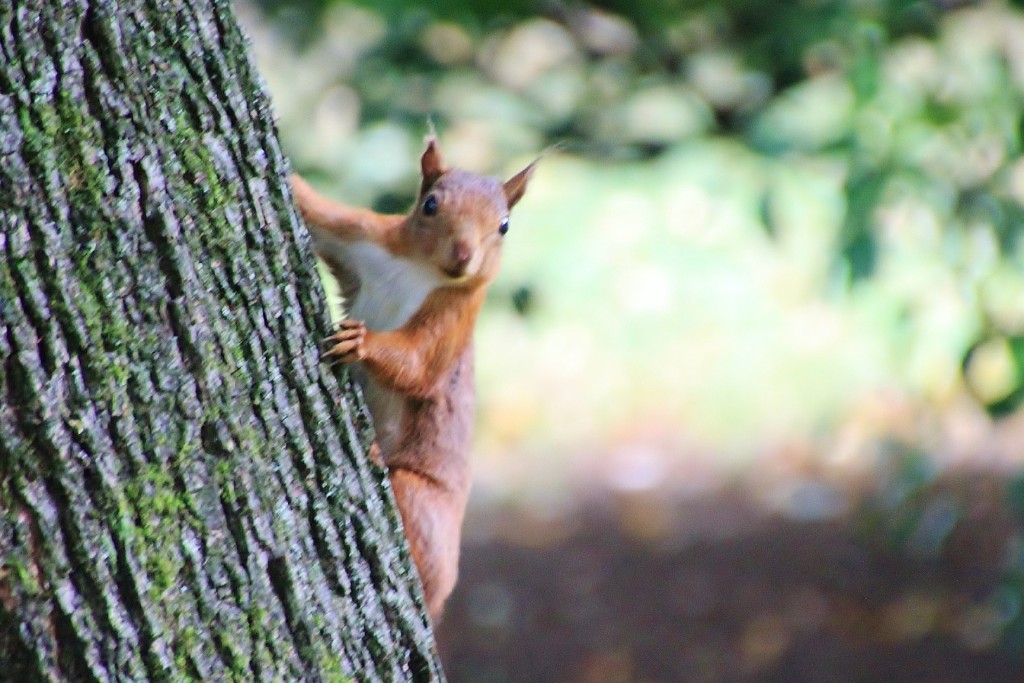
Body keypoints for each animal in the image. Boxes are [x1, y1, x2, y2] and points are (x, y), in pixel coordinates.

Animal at [290, 137, 536, 618]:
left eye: (504, 226)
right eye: (430, 204)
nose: (463, 257)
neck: (419, 270)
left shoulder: (454, 316)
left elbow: (420, 365)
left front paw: (361, 343)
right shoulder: (363, 235)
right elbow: (317, 212)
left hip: (421, 503)